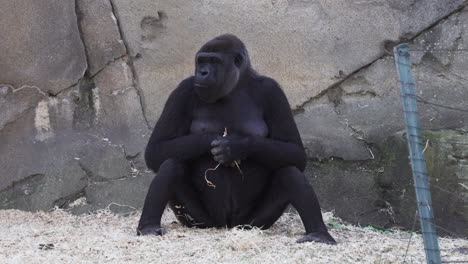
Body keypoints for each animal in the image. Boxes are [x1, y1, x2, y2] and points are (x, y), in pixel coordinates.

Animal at [135, 34, 336, 244]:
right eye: (201, 61)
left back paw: (319, 234)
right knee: (171, 164)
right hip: (203, 222)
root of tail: (228, 225)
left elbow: (295, 152)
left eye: (214, 61)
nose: (203, 72)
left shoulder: (273, 91)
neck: (237, 85)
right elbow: (156, 150)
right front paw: (216, 140)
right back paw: (148, 227)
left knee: (289, 171)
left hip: (253, 224)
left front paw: (235, 146)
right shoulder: (183, 90)